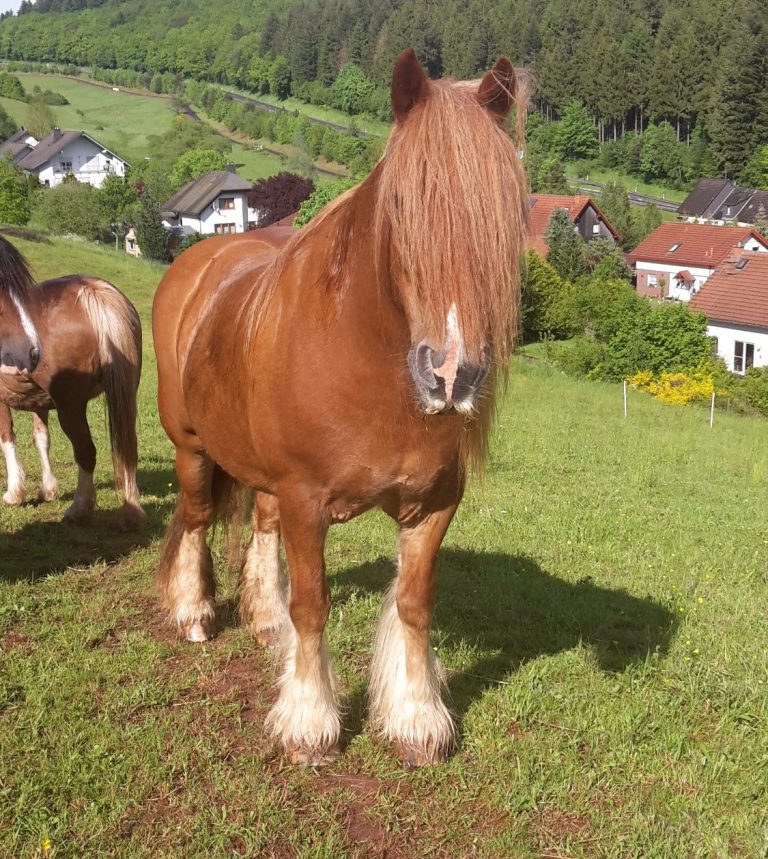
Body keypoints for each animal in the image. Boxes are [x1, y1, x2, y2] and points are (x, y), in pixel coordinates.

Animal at [0, 236, 145, 529]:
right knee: (128, 449)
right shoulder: (38, 401)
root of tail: (93, 293)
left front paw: (14, 493)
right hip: (127, 398)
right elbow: (41, 439)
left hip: (71, 407)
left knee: (86, 452)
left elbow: (7, 438)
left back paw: (80, 509)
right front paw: (48, 489)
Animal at [152, 49, 528, 766]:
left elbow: (413, 604)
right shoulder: (307, 500)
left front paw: (415, 717)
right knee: (195, 517)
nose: (452, 375)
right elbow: (314, 606)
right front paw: (309, 723)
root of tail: (202, 258)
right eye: (403, 205)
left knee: (260, 526)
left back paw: (262, 618)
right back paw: (192, 613)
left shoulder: (434, 505)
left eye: (508, 214)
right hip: (192, 447)